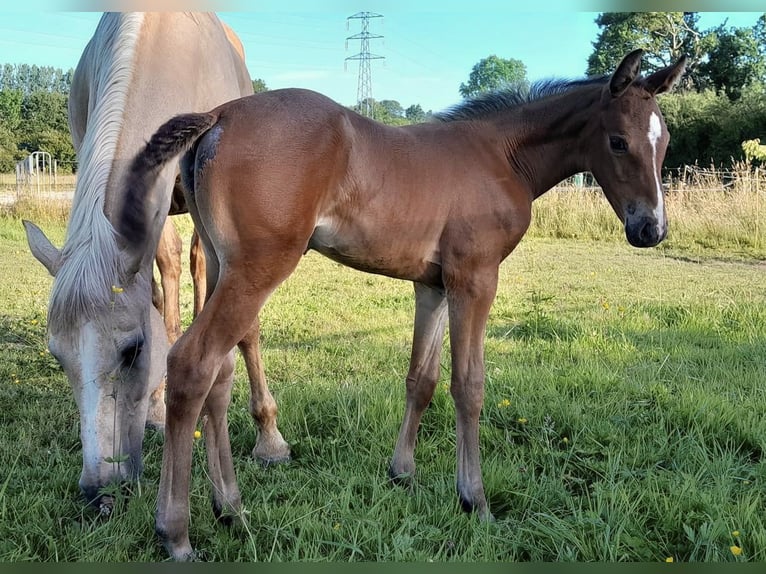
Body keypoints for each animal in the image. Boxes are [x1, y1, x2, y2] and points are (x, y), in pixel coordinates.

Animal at [22, 13, 294, 516]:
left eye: (132, 350)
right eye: (56, 355)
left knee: (198, 268)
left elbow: (243, 325)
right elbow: (157, 290)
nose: (100, 493)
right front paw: (156, 406)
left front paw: (270, 440)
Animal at [117, 50, 688, 564]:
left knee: (220, 373)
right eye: (618, 141)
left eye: (663, 143)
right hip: (258, 269)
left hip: (220, 266)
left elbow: (422, 379)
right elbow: (468, 386)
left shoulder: (432, 286)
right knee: (193, 364)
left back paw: (231, 507)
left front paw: (403, 472)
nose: (650, 230)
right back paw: (176, 533)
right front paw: (474, 499)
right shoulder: (474, 279)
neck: (501, 156)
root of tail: (219, 115)